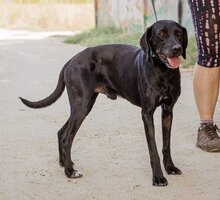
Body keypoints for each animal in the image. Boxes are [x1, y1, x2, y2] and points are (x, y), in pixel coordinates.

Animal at [19, 19, 187, 186]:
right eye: (161, 34)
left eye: (178, 34)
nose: (177, 49)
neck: (163, 71)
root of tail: (72, 60)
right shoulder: (147, 113)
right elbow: (153, 149)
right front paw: (158, 177)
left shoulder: (168, 111)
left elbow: (166, 144)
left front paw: (170, 167)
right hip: (81, 106)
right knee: (67, 138)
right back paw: (70, 172)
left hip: (84, 106)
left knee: (61, 132)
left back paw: (65, 163)